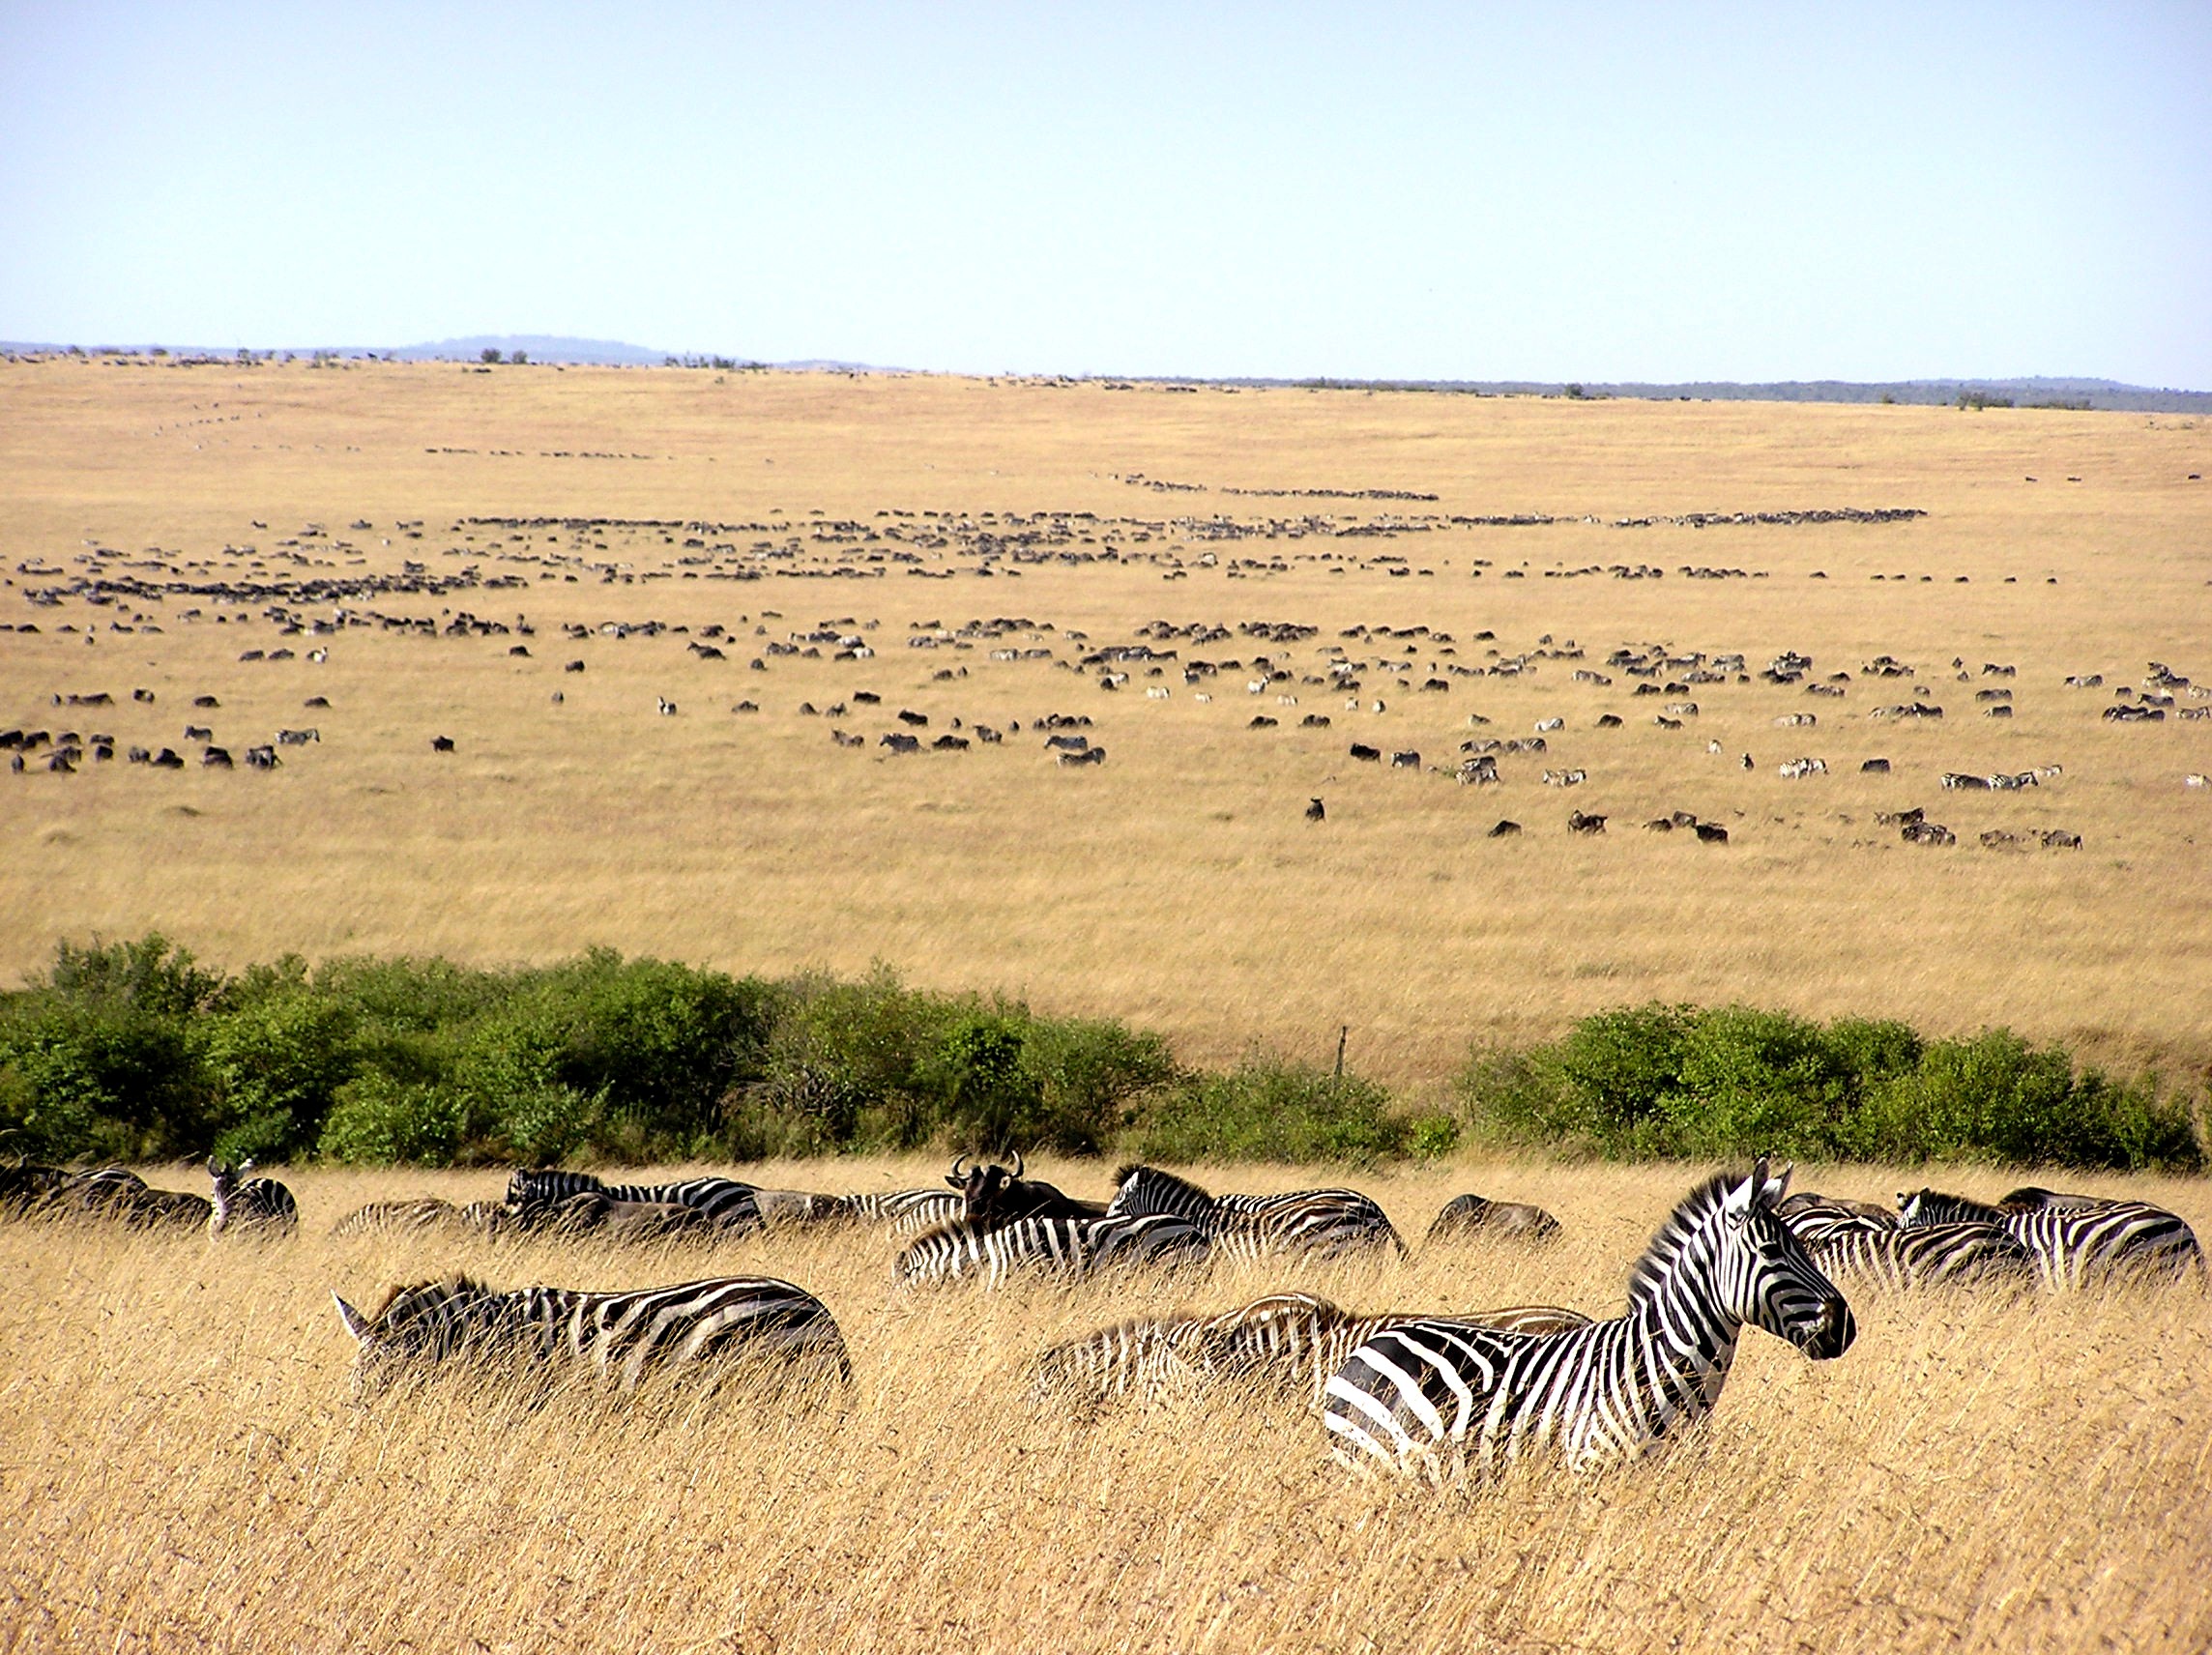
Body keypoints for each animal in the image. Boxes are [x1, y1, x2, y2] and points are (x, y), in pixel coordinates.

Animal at [1318, 1159, 1857, 1487]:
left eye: (1804, 1244)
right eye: (1771, 1250)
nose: (1844, 1328)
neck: (1657, 1364)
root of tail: (1368, 1347)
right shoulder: (1594, 1470)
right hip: (1372, 1467)